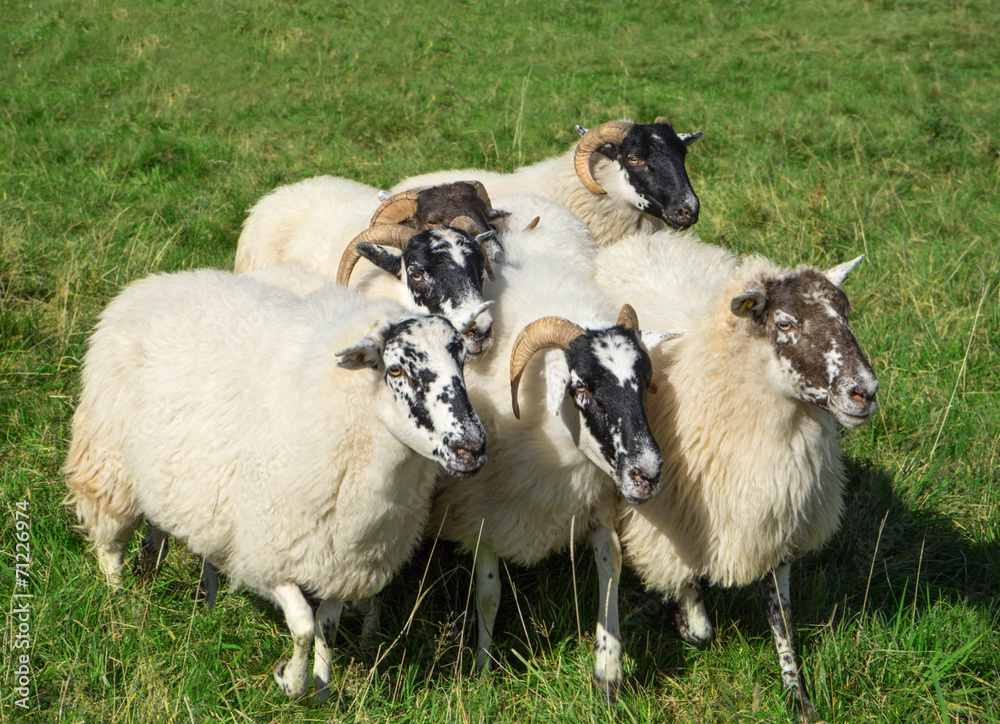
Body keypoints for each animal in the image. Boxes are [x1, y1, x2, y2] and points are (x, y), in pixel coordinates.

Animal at [64, 269, 491, 701]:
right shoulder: (268, 553)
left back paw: (175, 584)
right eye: (396, 370)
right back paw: (120, 602)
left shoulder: (340, 562)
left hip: (170, 482)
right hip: (108, 460)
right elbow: (302, 625)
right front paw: (290, 681)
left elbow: (326, 628)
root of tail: (147, 285)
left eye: (461, 362)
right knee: (109, 542)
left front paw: (321, 690)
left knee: (159, 530)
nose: (472, 448)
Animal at [425, 245, 677, 698]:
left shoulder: (596, 499)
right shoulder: (479, 508)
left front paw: (608, 671)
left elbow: (611, 565)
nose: (647, 474)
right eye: (580, 389)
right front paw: (482, 668)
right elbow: (488, 592)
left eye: (646, 379)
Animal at [592, 231, 879, 722]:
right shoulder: (671, 521)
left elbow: (781, 615)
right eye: (784, 323)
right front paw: (680, 616)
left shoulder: (778, 517)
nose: (866, 392)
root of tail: (639, 238)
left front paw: (796, 694)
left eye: (846, 314)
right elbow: (699, 621)